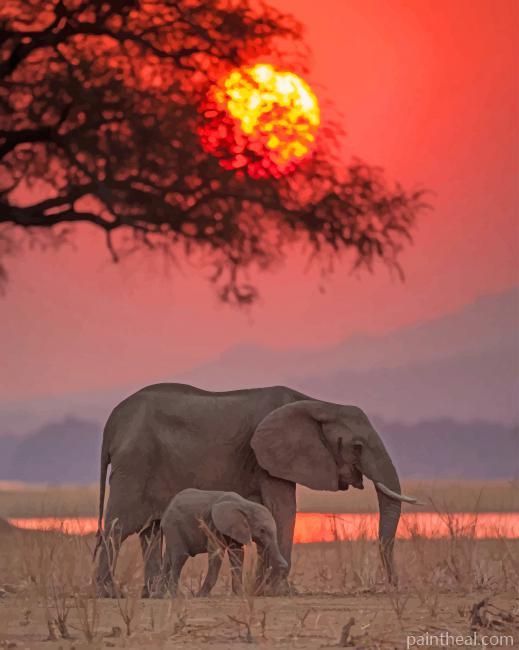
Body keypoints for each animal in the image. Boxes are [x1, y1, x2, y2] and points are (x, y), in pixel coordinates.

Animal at [94, 383, 418, 597]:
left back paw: (152, 594)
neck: (318, 404)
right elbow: (283, 508)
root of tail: (112, 422)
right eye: (357, 446)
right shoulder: (268, 457)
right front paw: (281, 590)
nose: (391, 585)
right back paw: (109, 593)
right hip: (135, 463)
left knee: (150, 530)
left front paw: (260, 589)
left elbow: (269, 511)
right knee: (118, 526)